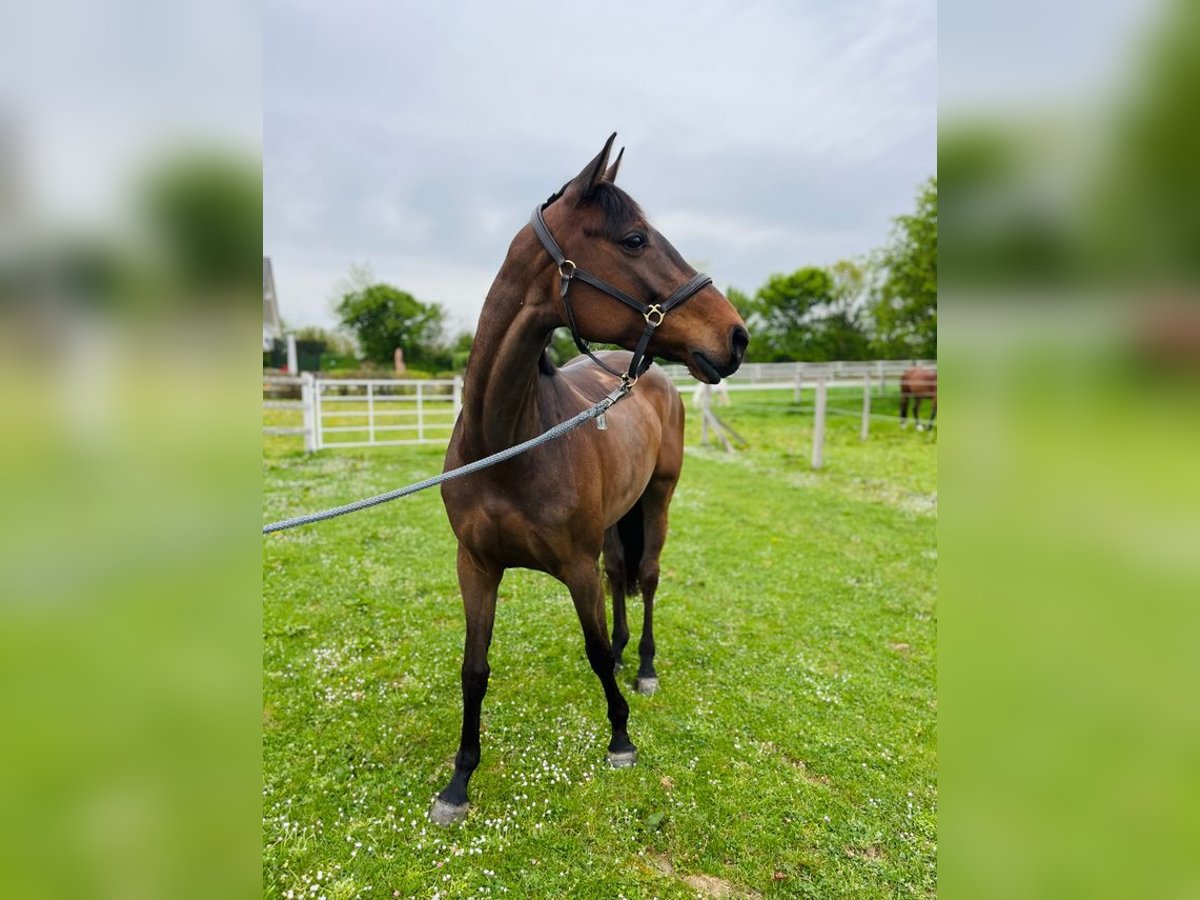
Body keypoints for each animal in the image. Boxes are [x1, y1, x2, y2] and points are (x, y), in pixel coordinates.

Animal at [431, 135, 749, 826]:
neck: (506, 445)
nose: (736, 335)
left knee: (646, 578)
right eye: (633, 239)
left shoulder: (574, 566)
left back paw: (645, 666)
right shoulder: (476, 566)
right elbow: (474, 668)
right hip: (613, 521)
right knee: (620, 574)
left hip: (657, 500)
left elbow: (595, 650)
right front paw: (459, 780)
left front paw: (621, 736)